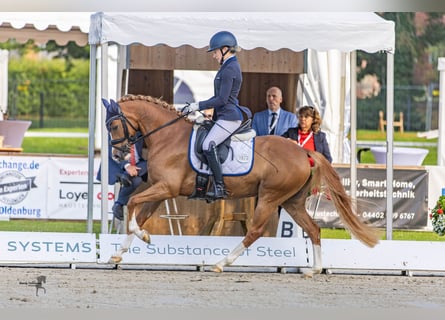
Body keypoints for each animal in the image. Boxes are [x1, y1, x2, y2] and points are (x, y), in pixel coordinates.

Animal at [104, 94, 378, 276]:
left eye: (113, 125)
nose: (117, 156)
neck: (168, 136)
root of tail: (303, 152)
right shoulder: (162, 191)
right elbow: (139, 215)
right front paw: (119, 252)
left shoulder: (166, 188)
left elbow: (133, 203)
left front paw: (144, 237)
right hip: (292, 201)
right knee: (313, 229)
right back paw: (315, 269)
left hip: (269, 197)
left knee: (255, 231)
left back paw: (221, 263)